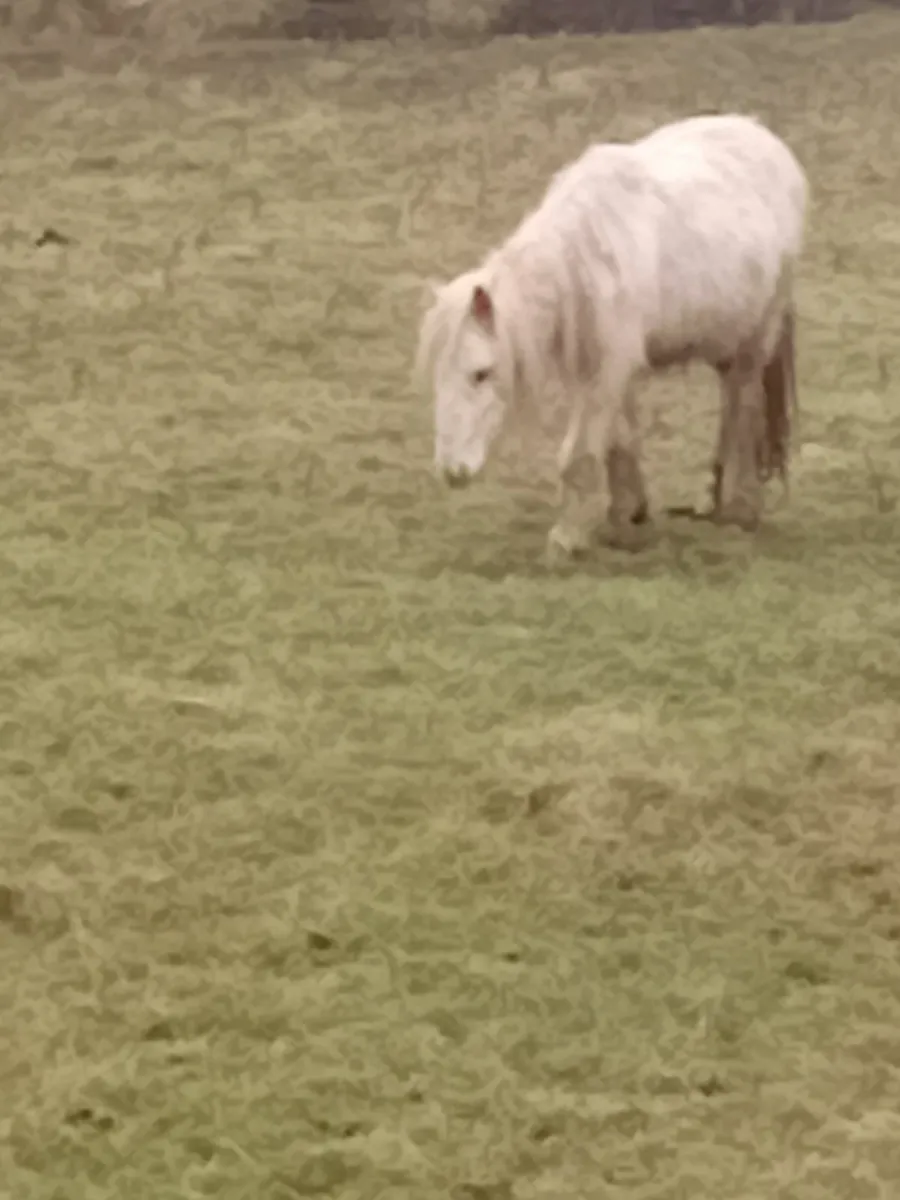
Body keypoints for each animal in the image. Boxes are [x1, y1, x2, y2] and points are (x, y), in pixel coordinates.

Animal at [416, 112, 808, 558]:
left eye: (481, 373)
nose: (452, 471)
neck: (583, 259)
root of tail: (766, 139)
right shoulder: (608, 372)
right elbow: (620, 441)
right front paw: (627, 514)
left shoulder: (605, 372)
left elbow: (579, 455)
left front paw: (567, 537)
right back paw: (712, 498)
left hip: (756, 340)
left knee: (745, 411)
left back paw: (741, 507)